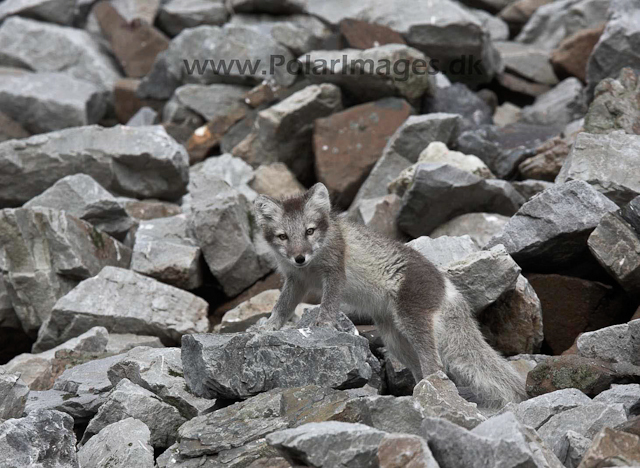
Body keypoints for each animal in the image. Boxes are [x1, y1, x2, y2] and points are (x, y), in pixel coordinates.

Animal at [254, 182, 524, 406]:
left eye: (309, 231)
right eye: (283, 236)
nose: (300, 257)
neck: (310, 267)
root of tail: (447, 287)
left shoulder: (335, 272)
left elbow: (329, 303)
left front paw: (323, 325)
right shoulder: (295, 280)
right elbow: (282, 305)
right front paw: (268, 327)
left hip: (411, 321)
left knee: (435, 365)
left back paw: (431, 391)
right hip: (394, 340)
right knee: (419, 367)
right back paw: (418, 393)